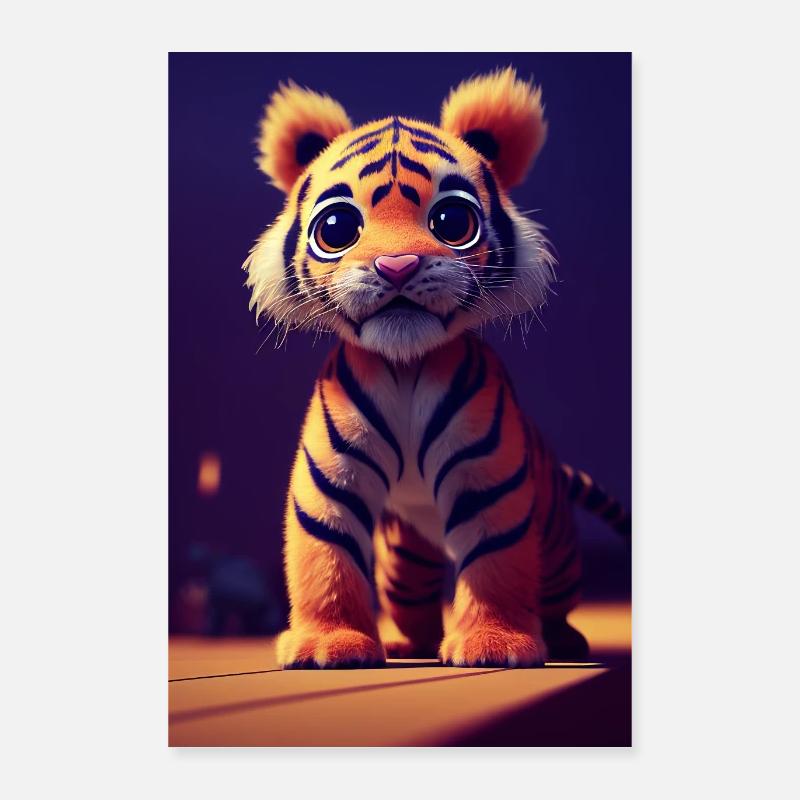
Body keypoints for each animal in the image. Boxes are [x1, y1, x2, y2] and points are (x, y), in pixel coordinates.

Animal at [243, 67, 630, 668]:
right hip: (405, 561)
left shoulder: (488, 475)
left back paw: (564, 639)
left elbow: (495, 562)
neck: (405, 363)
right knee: (412, 600)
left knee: (556, 596)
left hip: (560, 549)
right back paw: (408, 644)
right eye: (338, 228)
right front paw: (329, 645)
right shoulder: (331, 477)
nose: (397, 265)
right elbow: (326, 557)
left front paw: (495, 646)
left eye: (451, 220)